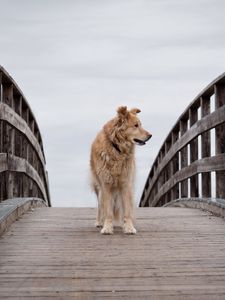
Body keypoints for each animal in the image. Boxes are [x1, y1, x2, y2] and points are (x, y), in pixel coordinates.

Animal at [89, 105, 151, 234]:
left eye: (140, 124)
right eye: (135, 125)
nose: (150, 135)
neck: (117, 148)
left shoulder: (126, 183)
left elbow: (126, 210)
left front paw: (129, 227)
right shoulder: (106, 184)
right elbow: (107, 211)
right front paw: (107, 227)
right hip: (99, 187)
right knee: (100, 206)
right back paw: (99, 222)